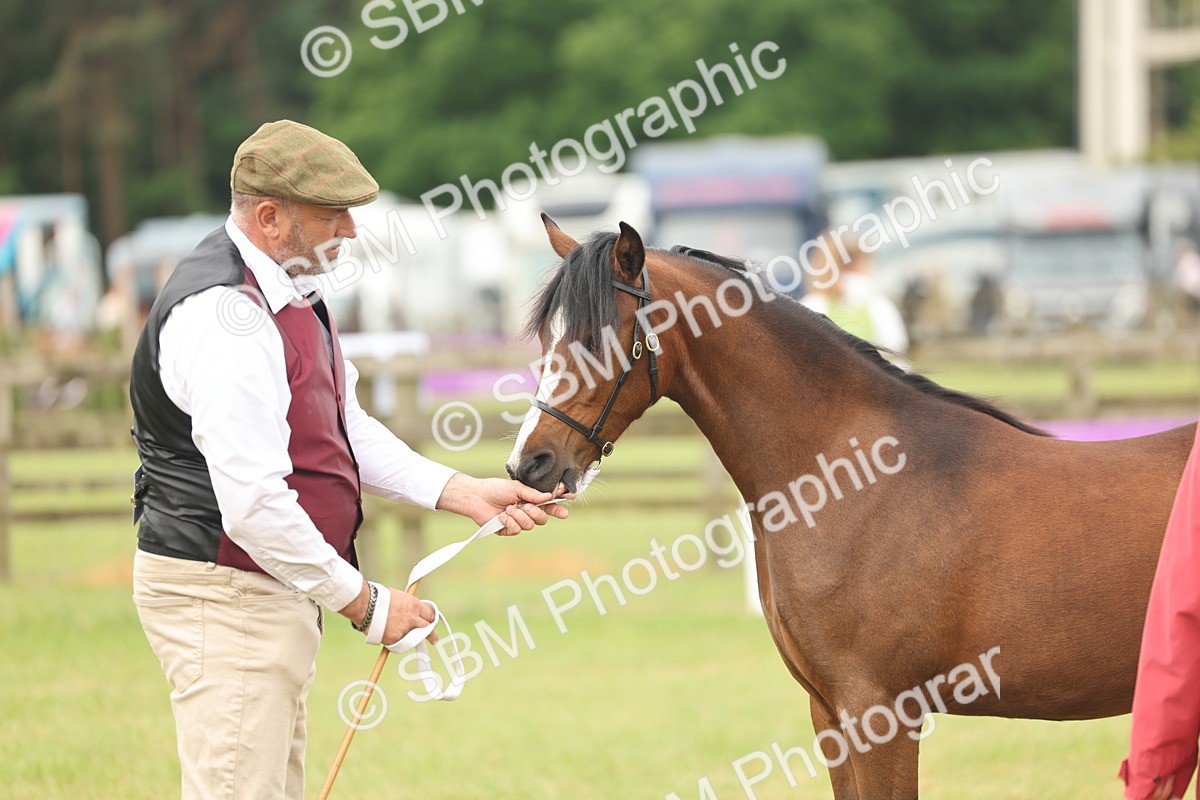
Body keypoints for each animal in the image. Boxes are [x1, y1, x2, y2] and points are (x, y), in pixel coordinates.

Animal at [503, 215, 1196, 799]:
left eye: (597, 338)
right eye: (547, 339)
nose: (529, 466)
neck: (848, 477)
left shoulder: (880, 712)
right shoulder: (830, 713)